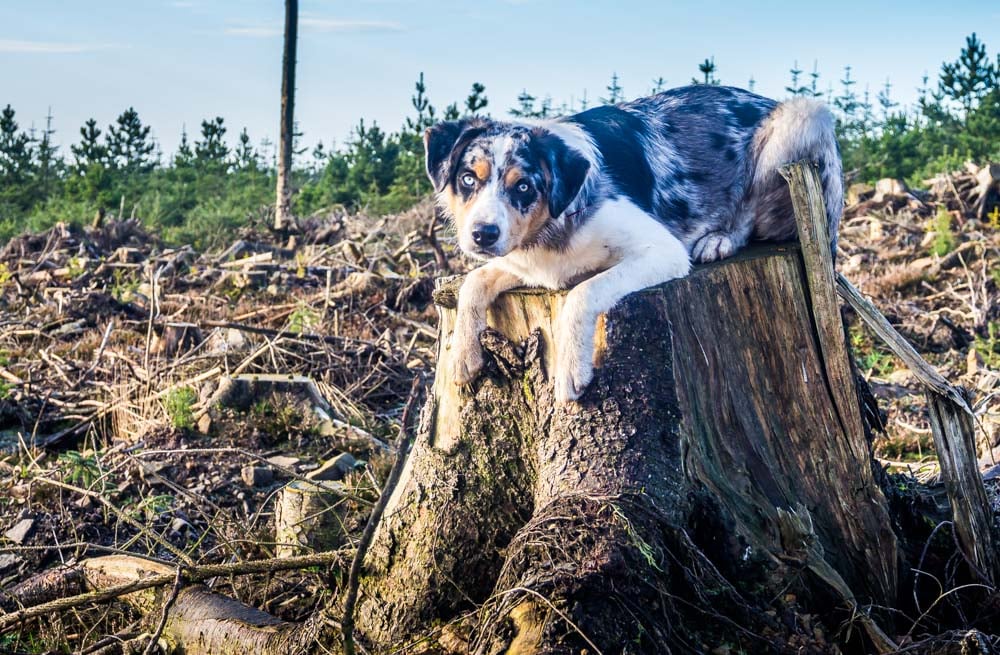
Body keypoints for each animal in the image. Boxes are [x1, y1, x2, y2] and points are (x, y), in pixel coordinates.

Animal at [422, 86, 844, 404]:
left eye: (523, 186)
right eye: (467, 179)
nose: (483, 234)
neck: (550, 226)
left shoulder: (662, 251)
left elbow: (582, 293)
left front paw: (571, 369)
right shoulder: (525, 264)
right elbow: (473, 281)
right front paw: (463, 354)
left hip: (801, 118)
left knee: (748, 212)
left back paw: (719, 239)